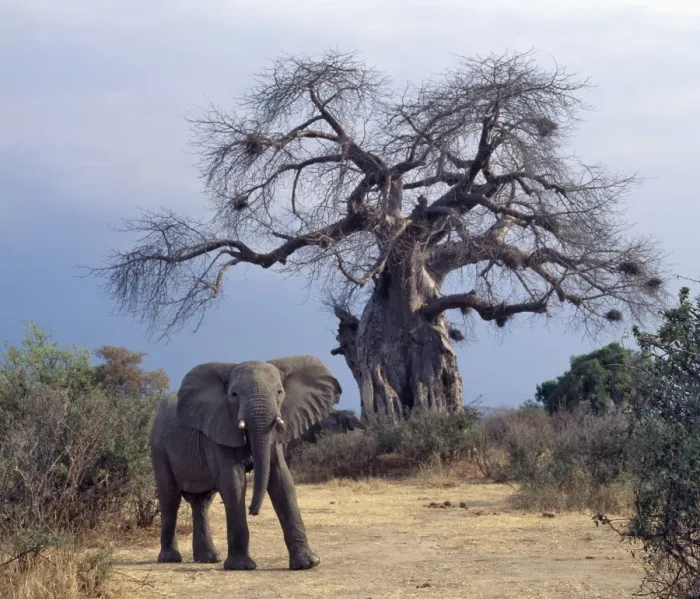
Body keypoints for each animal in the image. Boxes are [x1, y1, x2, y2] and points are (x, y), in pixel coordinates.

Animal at [149, 355, 342, 571]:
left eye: (279, 392)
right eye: (234, 394)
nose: (253, 511)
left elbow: (282, 481)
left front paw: (307, 564)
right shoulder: (218, 428)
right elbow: (233, 483)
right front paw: (241, 566)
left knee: (202, 502)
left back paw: (209, 558)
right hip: (159, 448)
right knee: (170, 498)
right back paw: (170, 558)